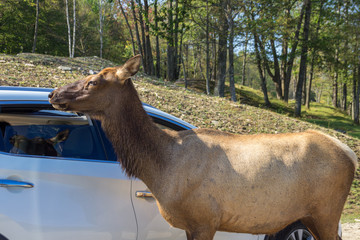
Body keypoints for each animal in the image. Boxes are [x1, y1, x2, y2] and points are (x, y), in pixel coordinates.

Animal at [47, 55, 358, 240]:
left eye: (93, 81)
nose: (53, 93)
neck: (160, 167)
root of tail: (350, 153)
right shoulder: (191, 224)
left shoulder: (204, 219)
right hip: (312, 215)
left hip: (326, 211)